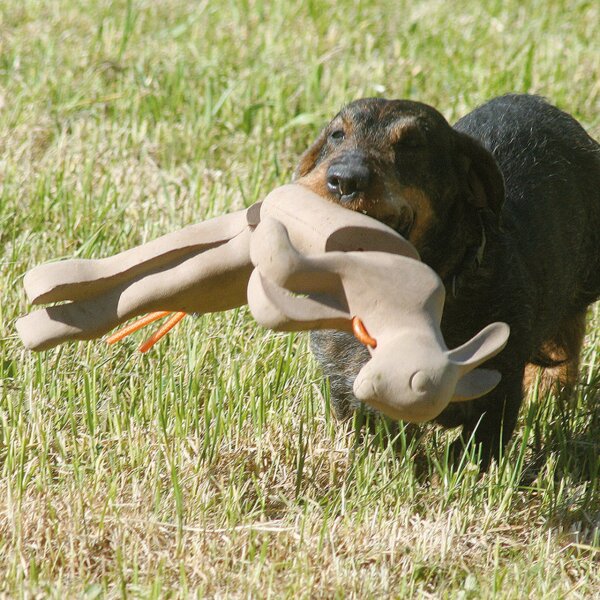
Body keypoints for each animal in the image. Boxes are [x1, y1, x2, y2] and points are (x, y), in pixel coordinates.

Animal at [296, 96, 600, 466]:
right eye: (337, 134)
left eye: (412, 144)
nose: (344, 180)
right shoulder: (345, 386)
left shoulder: (497, 389)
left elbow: (478, 449)